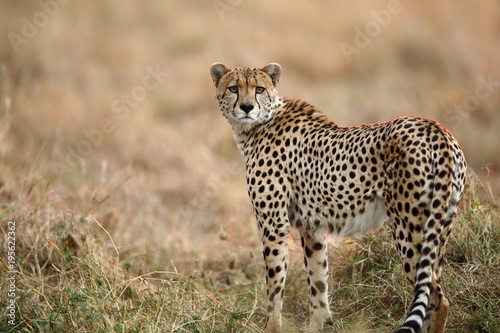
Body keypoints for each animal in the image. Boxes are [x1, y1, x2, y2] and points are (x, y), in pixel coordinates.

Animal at [209, 63, 466, 332]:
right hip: (441, 227)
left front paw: (272, 327)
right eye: (233, 88)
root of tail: (434, 128)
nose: (247, 107)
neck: (259, 124)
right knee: (435, 290)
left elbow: (275, 284)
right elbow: (318, 279)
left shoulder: (274, 225)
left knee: (436, 298)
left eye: (259, 89)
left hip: (409, 227)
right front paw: (320, 323)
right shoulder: (311, 228)